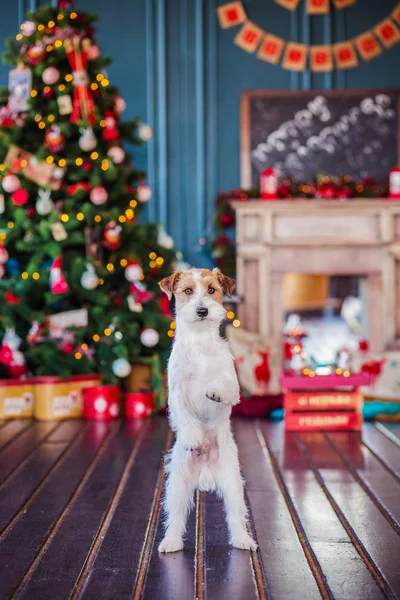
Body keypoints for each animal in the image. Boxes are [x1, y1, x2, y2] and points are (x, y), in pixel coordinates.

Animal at [156, 268, 256, 552]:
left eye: (212, 289)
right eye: (188, 290)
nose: (202, 310)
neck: (200, 341)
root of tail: (205, 474)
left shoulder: (232, 383)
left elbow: (223, 386)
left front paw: (213, 391)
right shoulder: (176, 392)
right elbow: (185, 416)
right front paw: (193, 437)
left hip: (233, 485)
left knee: (235, 515)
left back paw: (243, 540)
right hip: (177, 486)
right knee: (176, 516)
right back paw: (170, 542)